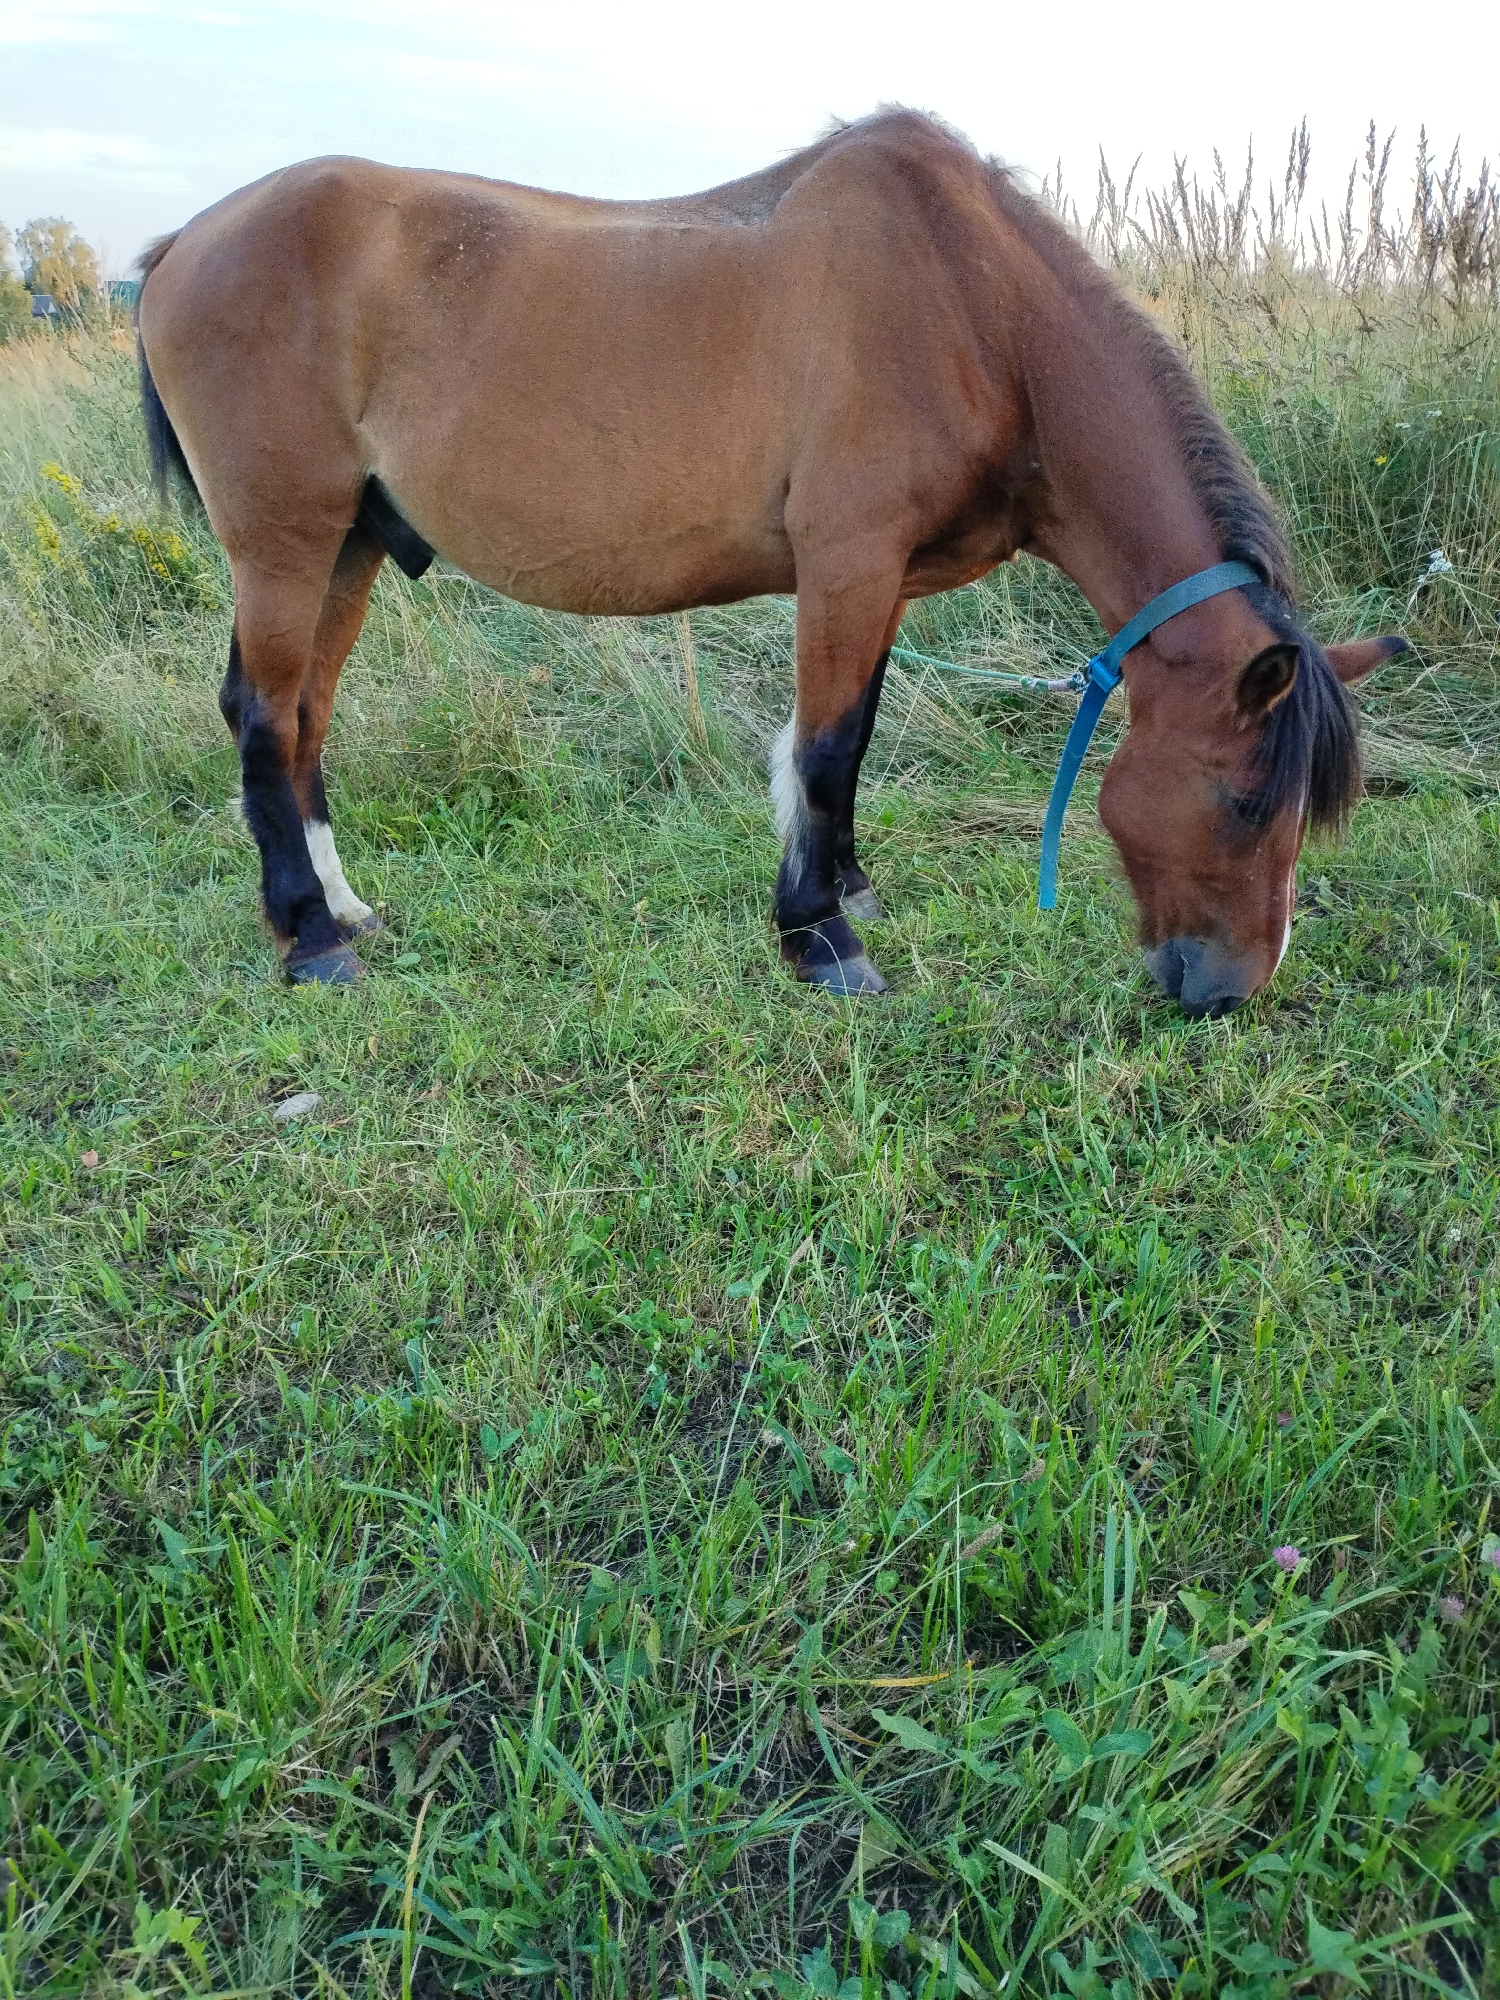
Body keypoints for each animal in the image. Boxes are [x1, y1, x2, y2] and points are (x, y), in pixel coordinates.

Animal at [135, 108, 1403, 1017]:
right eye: (1242, 797)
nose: (1226, 993)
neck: (974, 309)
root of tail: (178, 245)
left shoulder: (882, 580)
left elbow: (852, 736)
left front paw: (847, 889)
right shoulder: (848, 560)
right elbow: (829, 745)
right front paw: (819, 937)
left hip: (345, 544)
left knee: (302, 718)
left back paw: (344, 908)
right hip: (285, 543)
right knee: (265, 718)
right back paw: (309, 940)